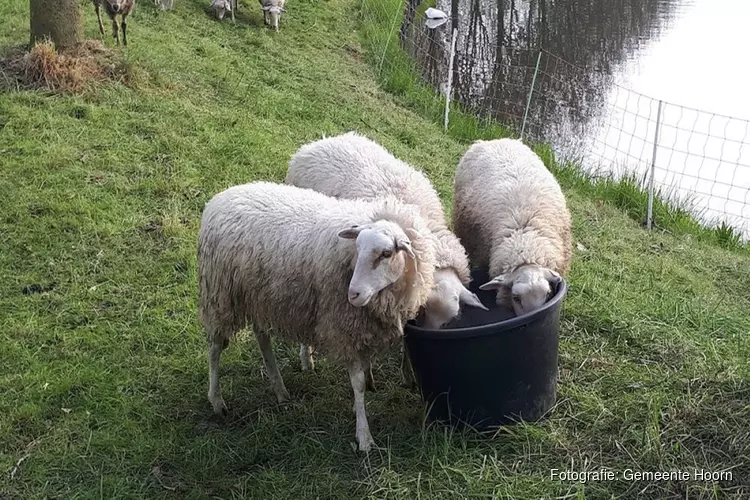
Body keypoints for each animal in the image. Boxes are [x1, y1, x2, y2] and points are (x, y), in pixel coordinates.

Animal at [197, 181, 438, 454]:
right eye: (357, 248)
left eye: (386, 253)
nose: (353, 294)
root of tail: (222, 196)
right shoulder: (343, 328)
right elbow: (356, 383)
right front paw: (364, 437)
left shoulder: (363, 327)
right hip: (220, 296)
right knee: (215, 348)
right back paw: (217, 400)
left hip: (260, 296)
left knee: (262, 338)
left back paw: (280, 390)